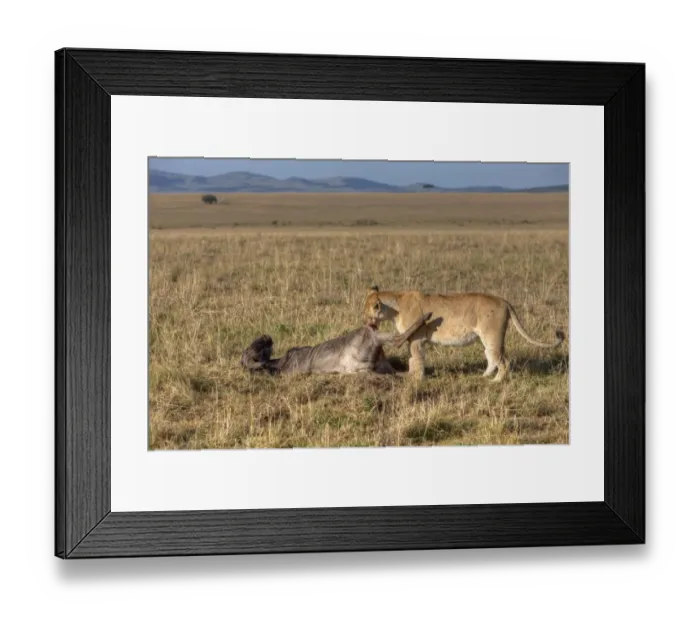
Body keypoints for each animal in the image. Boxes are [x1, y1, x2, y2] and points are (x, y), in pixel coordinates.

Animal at [362, 285, 565, 381]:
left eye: (366, 313)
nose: (364, 323)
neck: (394, 307)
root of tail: (504, 301)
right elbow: (414, 358)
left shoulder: (416, 338)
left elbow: (416, 358)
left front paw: (415, 378)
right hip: (487, 339)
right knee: (492, 358)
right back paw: (483, 377)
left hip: (492, 336)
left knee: (503, 361)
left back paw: (496, 382)